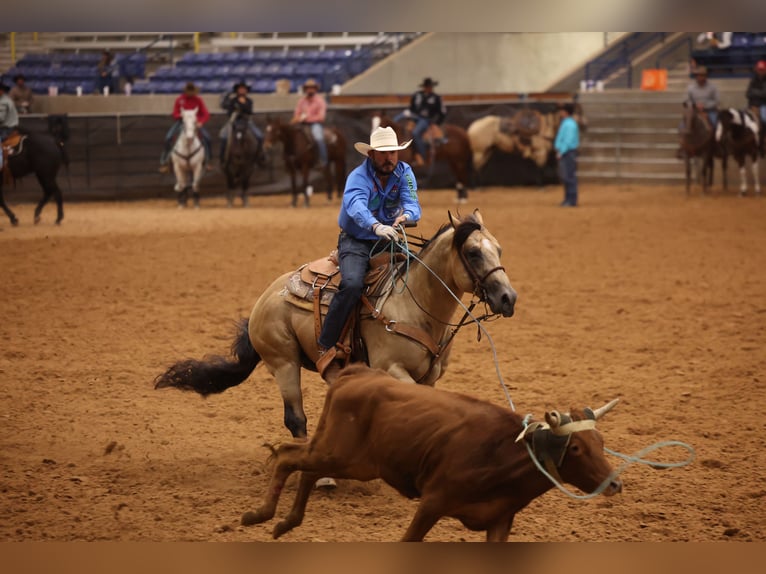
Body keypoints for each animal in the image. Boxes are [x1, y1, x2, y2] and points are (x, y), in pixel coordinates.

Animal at [154, 210, 517, 444]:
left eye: (499, 249)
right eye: (473, 252)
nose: (508, 297)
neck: (415, 305)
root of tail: (265, 297)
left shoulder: (430, 377)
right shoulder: (391, 369)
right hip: (283, 362)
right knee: (296, 419)